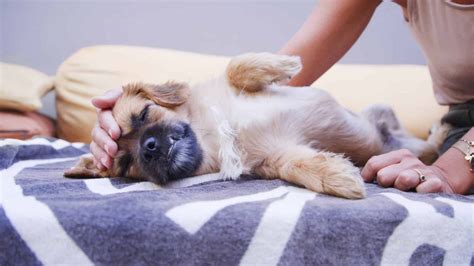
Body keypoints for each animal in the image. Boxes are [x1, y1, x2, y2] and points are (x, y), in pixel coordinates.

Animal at [65, 52, 438, 200]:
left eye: (143, 115)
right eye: (128, 164)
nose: (150, 147)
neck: (215, 134)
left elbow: (236, 67)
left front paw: (282, 64)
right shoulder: (277, 157)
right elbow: (299, 165)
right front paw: (339, 176)